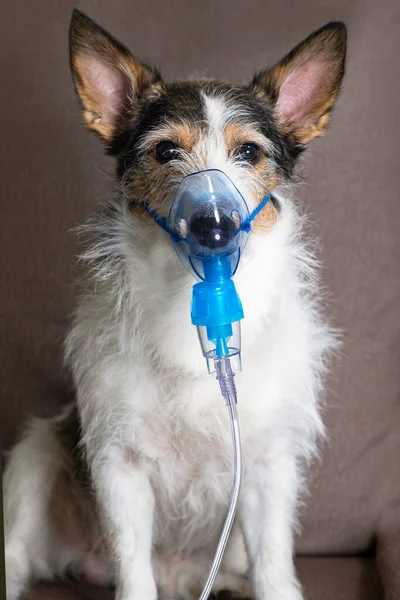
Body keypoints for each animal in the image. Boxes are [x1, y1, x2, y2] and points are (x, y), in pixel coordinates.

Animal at [3, 9, 346, 600]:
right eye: (166, 151)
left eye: (248, 152)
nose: (214, 224)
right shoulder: (120, 467)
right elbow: (132, 567)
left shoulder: (267, 468)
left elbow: (274, 567)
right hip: (37, 453)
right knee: (19, 550)